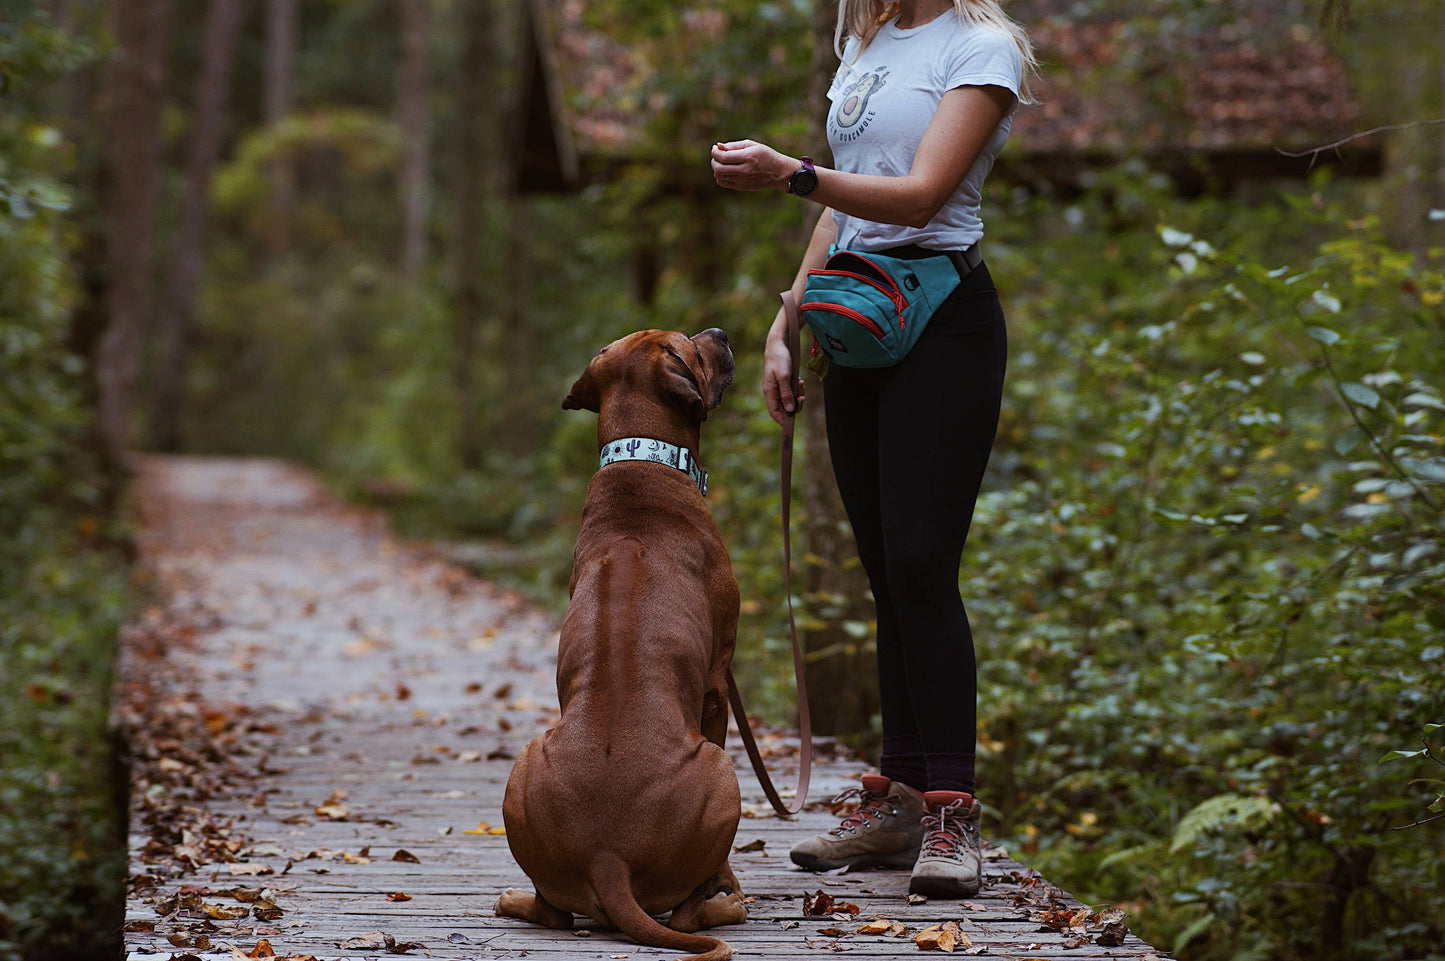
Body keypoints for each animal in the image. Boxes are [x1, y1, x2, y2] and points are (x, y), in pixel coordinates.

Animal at [497, 329, 745, 959]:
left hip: (525, 761)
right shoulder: (717, 687)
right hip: (721, 771)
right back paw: (724, 905)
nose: (721, 334)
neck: (641, 459)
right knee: (686, 917)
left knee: (553, 912)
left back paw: (514, 899)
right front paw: (727, 884)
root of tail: (607, 858)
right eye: (690, 345)